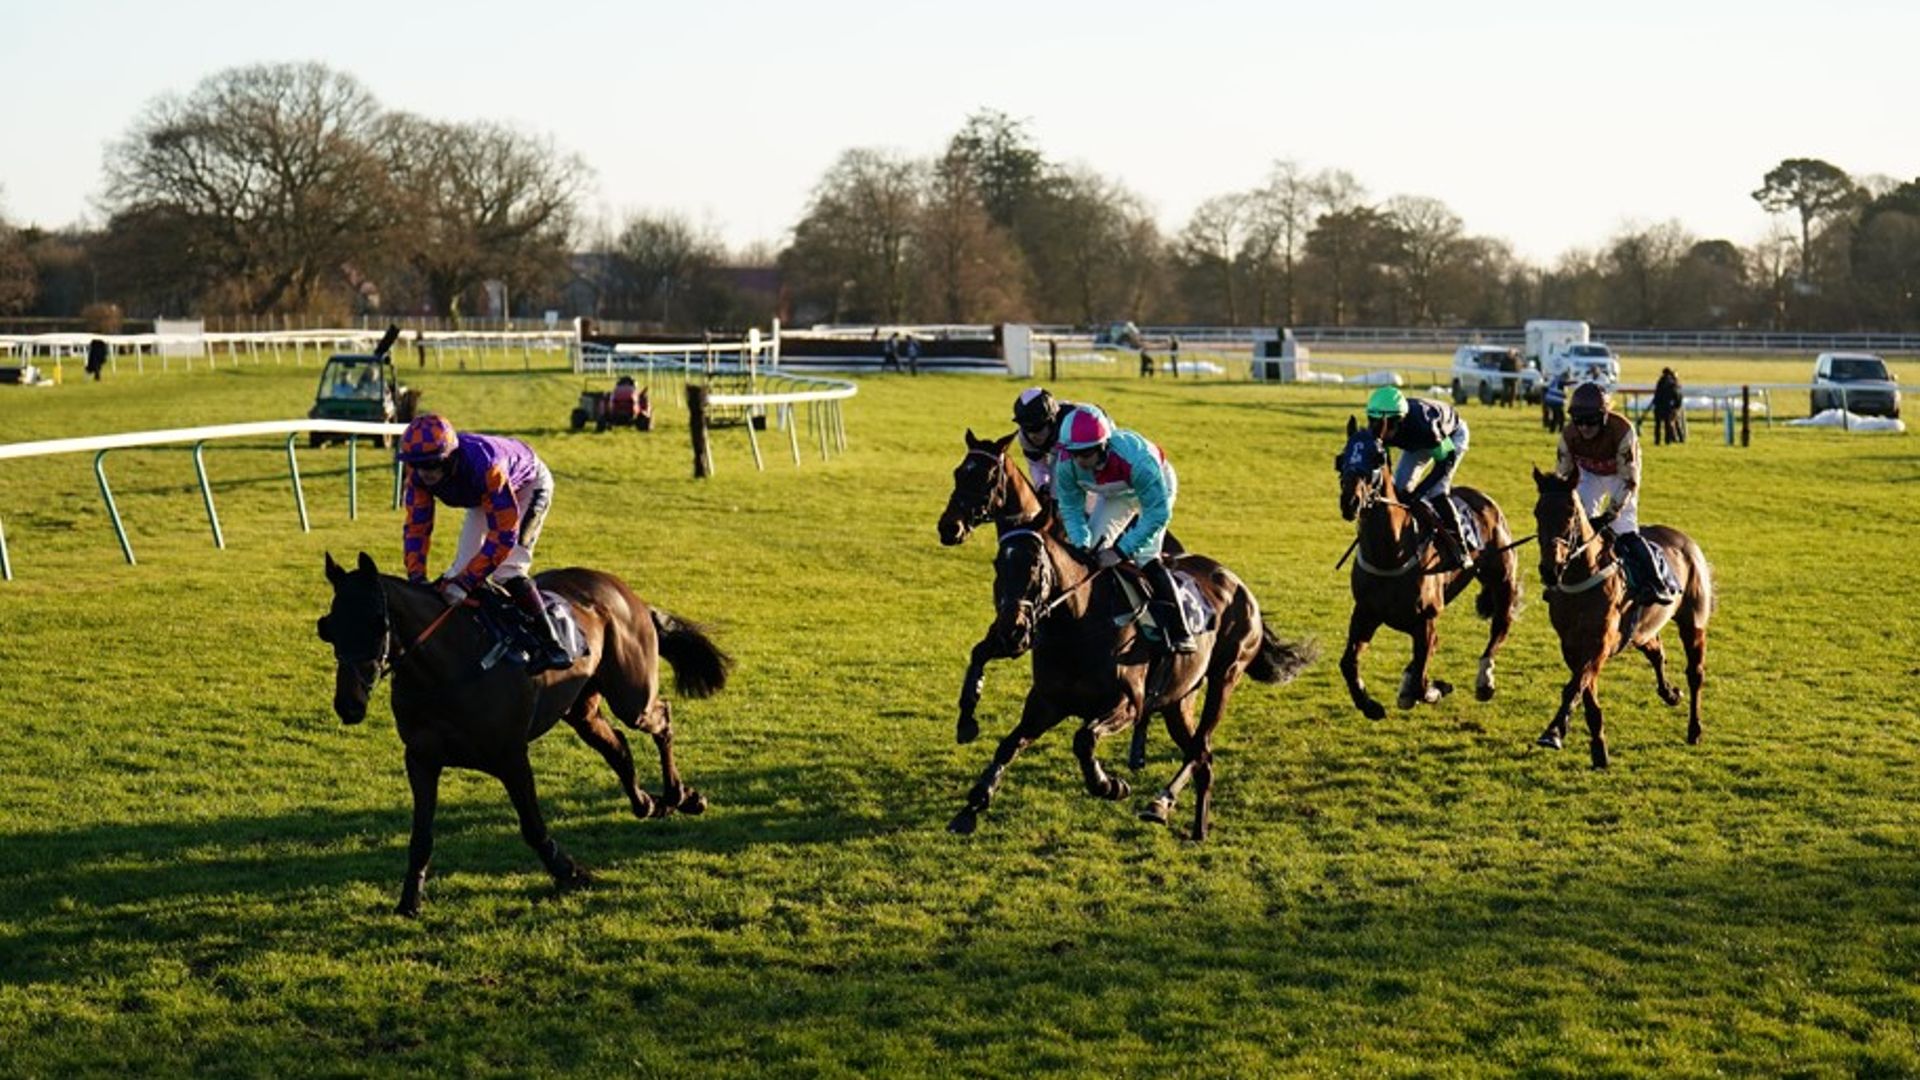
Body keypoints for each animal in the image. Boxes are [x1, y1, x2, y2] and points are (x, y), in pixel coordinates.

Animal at [318, 549, 729, 910]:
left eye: (377, 623)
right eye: (329, 628)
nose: (349, 704)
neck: (447, 669)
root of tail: (625, 591)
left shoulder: (511, 756)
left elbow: (531, 826)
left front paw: (570, 872)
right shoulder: (421, 759)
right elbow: (421, 836)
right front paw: (409, 900)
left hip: (632, 695)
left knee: (661, 718)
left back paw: (680, 795)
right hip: (581, 708)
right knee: (617, 745)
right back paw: (649, 802)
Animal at [948, 507, 1313, 841]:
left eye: (1035, 565)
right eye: (999, 564)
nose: (1011, 632)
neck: (1079, 623)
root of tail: (1241, 587)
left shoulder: (1128, 703)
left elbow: (1084, 739)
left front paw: (1110, 785)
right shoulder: (1047, 703)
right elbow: (1009, 745)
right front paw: (972, 805)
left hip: (1225, 677)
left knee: (1200, 748)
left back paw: (1163, 806)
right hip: (1179, 698)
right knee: (1202, 756)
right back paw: (1190, 824)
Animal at [1336, 417, 1512, 718]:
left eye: (1377, 456)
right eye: (1342, 457)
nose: (1350, 501)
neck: (1390, 554)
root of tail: (1484, 499)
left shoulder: (1425, 619)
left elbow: (1421, 681)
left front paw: (1435, 688)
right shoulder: (1366, 612)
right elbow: (1348, 663)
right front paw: (1369, 705)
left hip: (1502, 579)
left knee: (1500, 625)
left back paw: (1484, 679)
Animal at [1528, 468, 1712, 764]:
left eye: (1570, 512)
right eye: (1537, 512)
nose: (1550, 570)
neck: (1583, 576)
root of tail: (1686, 541)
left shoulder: (1599, 644)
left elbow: (1574, 686)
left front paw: (1553, 732)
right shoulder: (1571, 644)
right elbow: (1586, 691)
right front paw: (1598, 749)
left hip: (1693, 621)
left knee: (1695, 674)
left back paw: (1694, 730)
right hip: (1640, 631)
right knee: (1656, 652)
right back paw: (1670, 693)